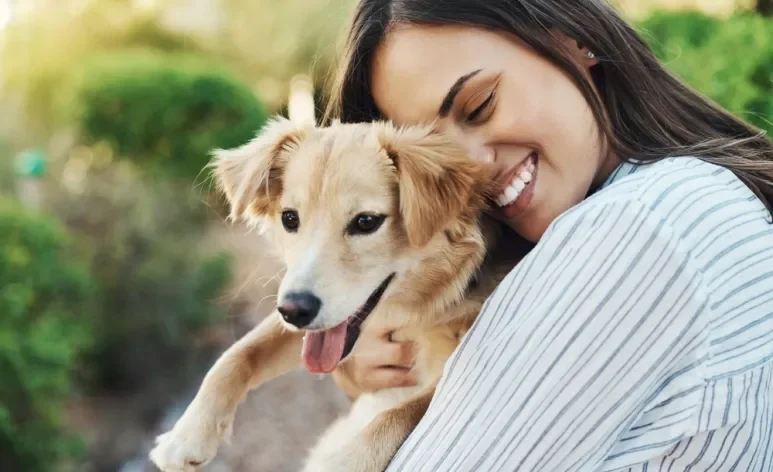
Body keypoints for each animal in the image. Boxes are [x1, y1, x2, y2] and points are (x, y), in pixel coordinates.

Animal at [149, 115, 528, 472]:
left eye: (366, 222)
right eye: (289, 218)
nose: (294, 311)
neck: (419, 307)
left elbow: (407, 409)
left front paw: (348, 460)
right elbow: (238, 353)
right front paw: (188, 434)